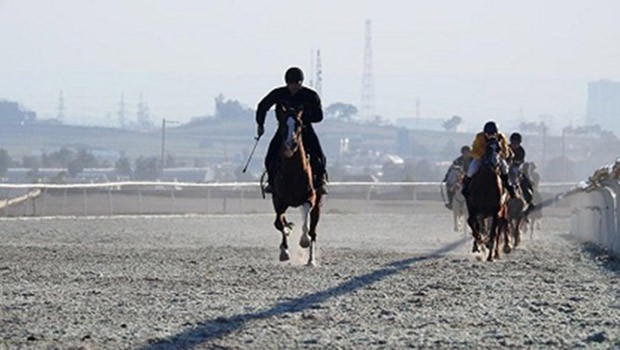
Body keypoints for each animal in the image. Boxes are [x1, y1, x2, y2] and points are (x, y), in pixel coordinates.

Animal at [268, 104, 322, 266]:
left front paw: (304, 240)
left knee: (313, 231)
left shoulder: (309, 197)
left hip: (318, 204)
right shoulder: (278, 199)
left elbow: (306, 225)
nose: (290, 144)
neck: (292, 171)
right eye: (282, 124)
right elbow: (279, 223)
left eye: (299, 123)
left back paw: (311, 260)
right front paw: (284, 250)